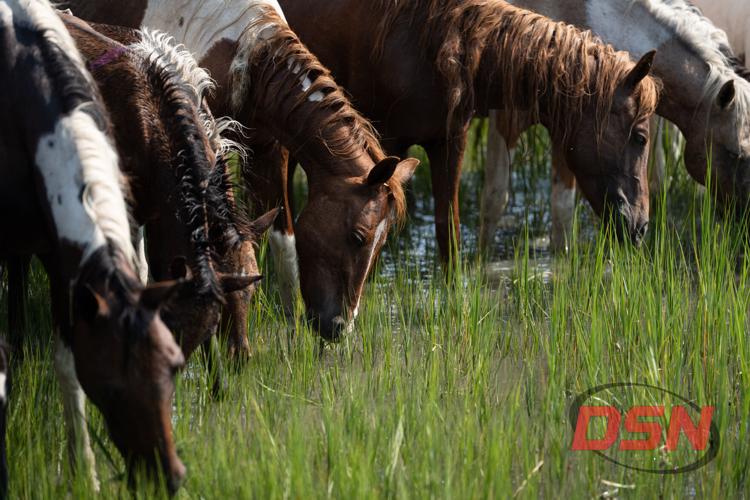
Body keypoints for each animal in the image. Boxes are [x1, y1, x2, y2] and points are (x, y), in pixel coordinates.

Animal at [0, 0, 186, 493]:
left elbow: (66, 362)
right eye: (113, 388)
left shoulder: (60, 258)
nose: (168, 477)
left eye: (174, 367)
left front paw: (84, 469)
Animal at [60, 0, 420, 340]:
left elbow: (284, 247)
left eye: (382, 241)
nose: (339, 327)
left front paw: (292, 340)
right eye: (358, 237)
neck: (246, 56)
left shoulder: (268, 153)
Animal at [480, 0, 750, 251]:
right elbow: (495, 199)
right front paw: (481, 261)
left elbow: (562, 211)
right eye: (735, 154)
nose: (746, 220)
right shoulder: (505, 122)